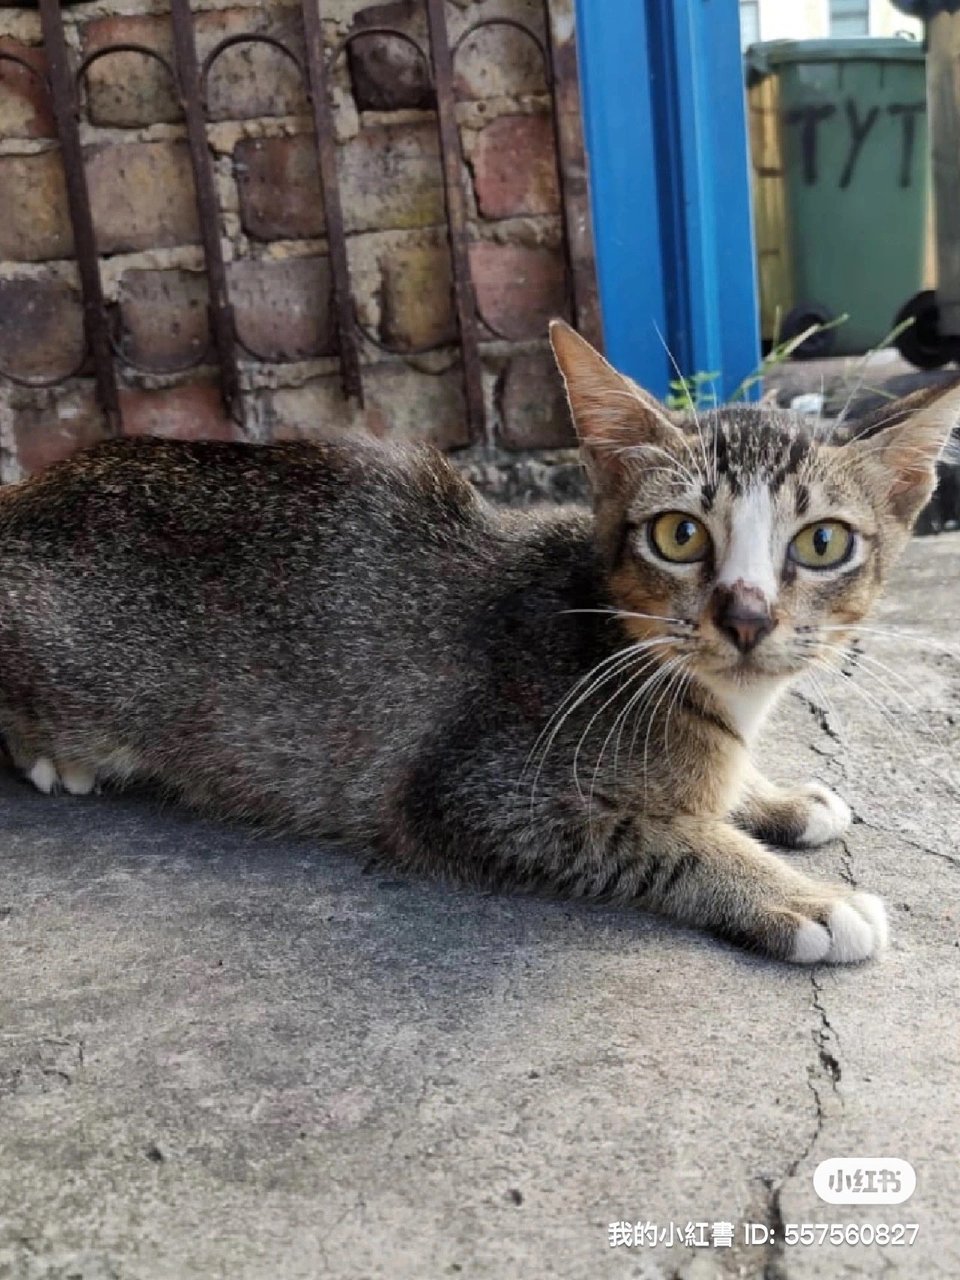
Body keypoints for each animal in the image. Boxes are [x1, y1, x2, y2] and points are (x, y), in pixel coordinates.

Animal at [1, 325, 957, 962]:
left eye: (823, 543)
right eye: (679, 535)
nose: (748, 618)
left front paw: (777, 796)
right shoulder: (472, 794)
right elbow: (665, 835)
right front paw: (802, 900)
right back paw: (59, 758)